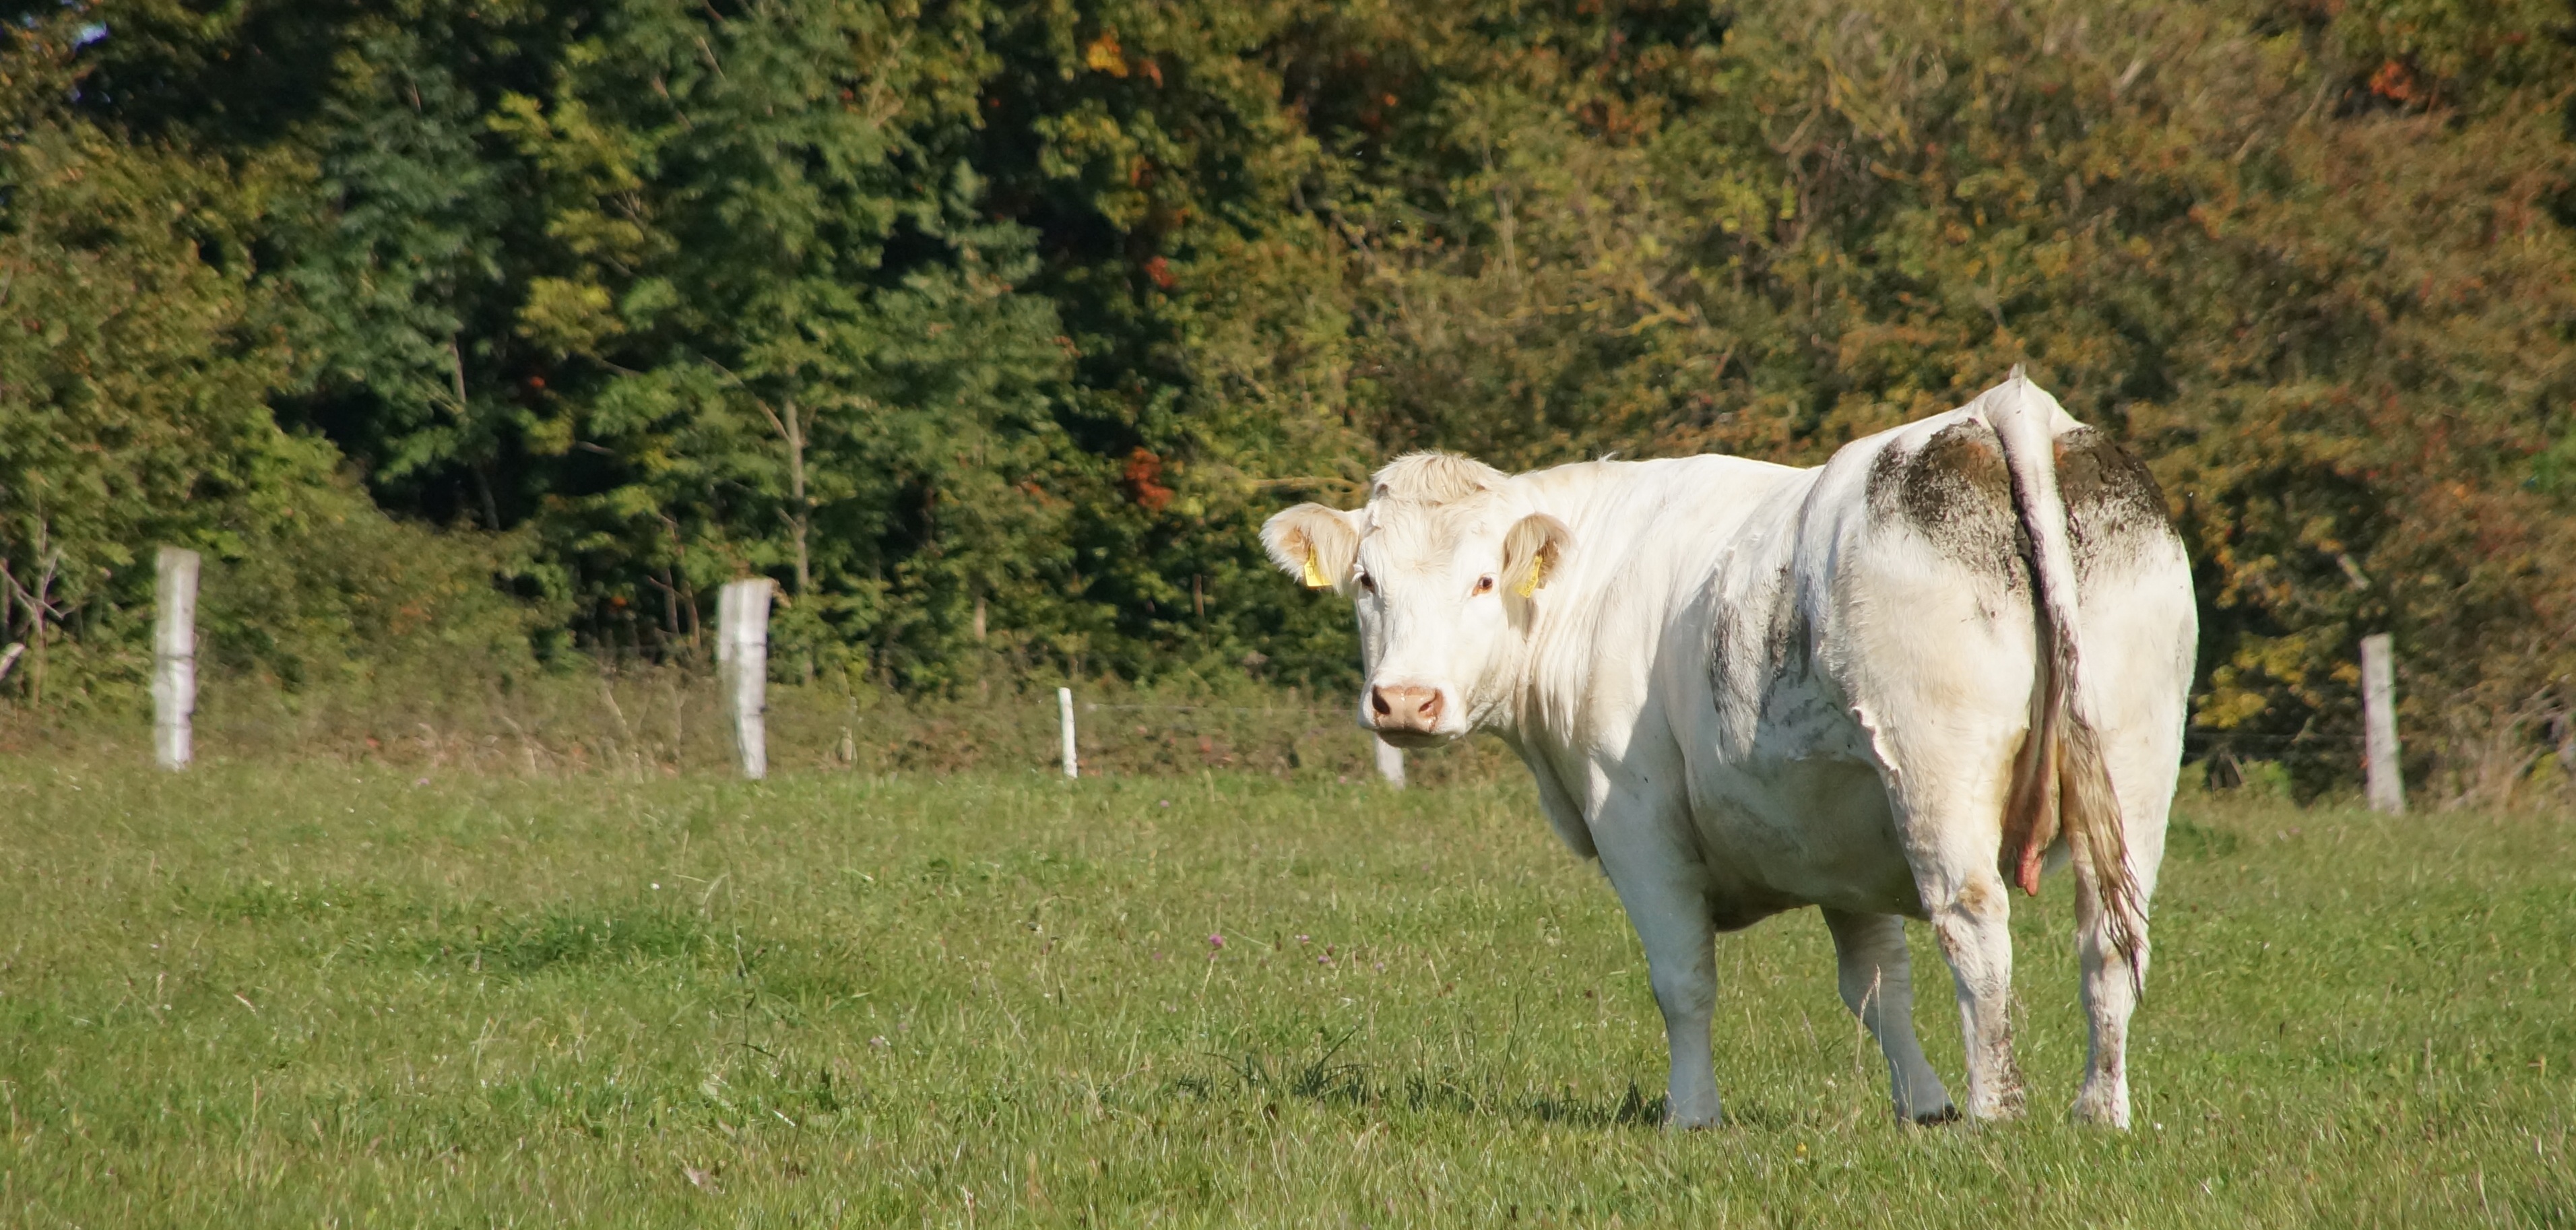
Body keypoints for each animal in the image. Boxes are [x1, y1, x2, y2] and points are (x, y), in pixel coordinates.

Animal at [1261, 372, 2195, 1128]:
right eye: (1366, 581)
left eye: (1483, 580)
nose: (1403, 700)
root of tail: (1999, 409)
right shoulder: (1837, 829)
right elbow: (1876, 985)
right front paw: (1920, 1104)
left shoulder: (1633, 819)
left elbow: (1683, 978)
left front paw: (1691, 1114)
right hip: (2135, 757)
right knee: (2110, 937)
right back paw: (2097, 1111)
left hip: (1938, 770)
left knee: (1974, 924)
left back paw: (1994, 1113)